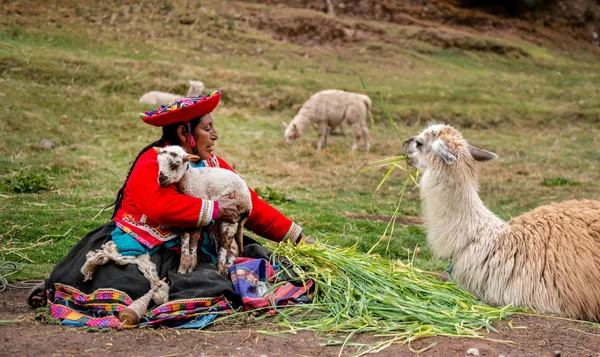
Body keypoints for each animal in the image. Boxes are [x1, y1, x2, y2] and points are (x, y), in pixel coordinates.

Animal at [154, 144, 252, 276]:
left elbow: (194, 239)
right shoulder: (185, 219)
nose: (161, 179)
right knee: (234, 247)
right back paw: (228, 270)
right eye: (158, 162)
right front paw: (184, 266)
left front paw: (191, 264)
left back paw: (220, 269)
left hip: (232, 214)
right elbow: (185, 239)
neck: (189, 178)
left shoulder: (200, 211)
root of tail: (249, 205)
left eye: (175, 164)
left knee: (226, 244)